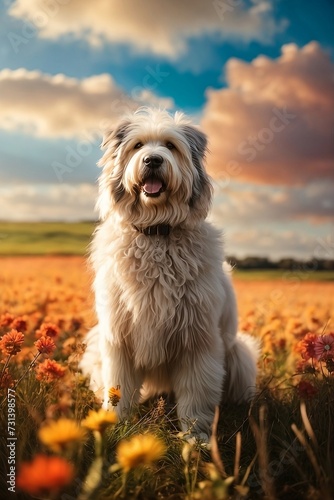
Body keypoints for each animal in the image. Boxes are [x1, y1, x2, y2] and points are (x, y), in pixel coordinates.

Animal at [80, 107, 258, 440]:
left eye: (171, 146)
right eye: (137, 146)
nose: (153, 160)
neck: (156, 233)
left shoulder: (198, 339)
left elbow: (196, 395)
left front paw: (195, 438)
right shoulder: (119, 337)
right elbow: (119, 388)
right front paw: (114, 427)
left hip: (239, 354)